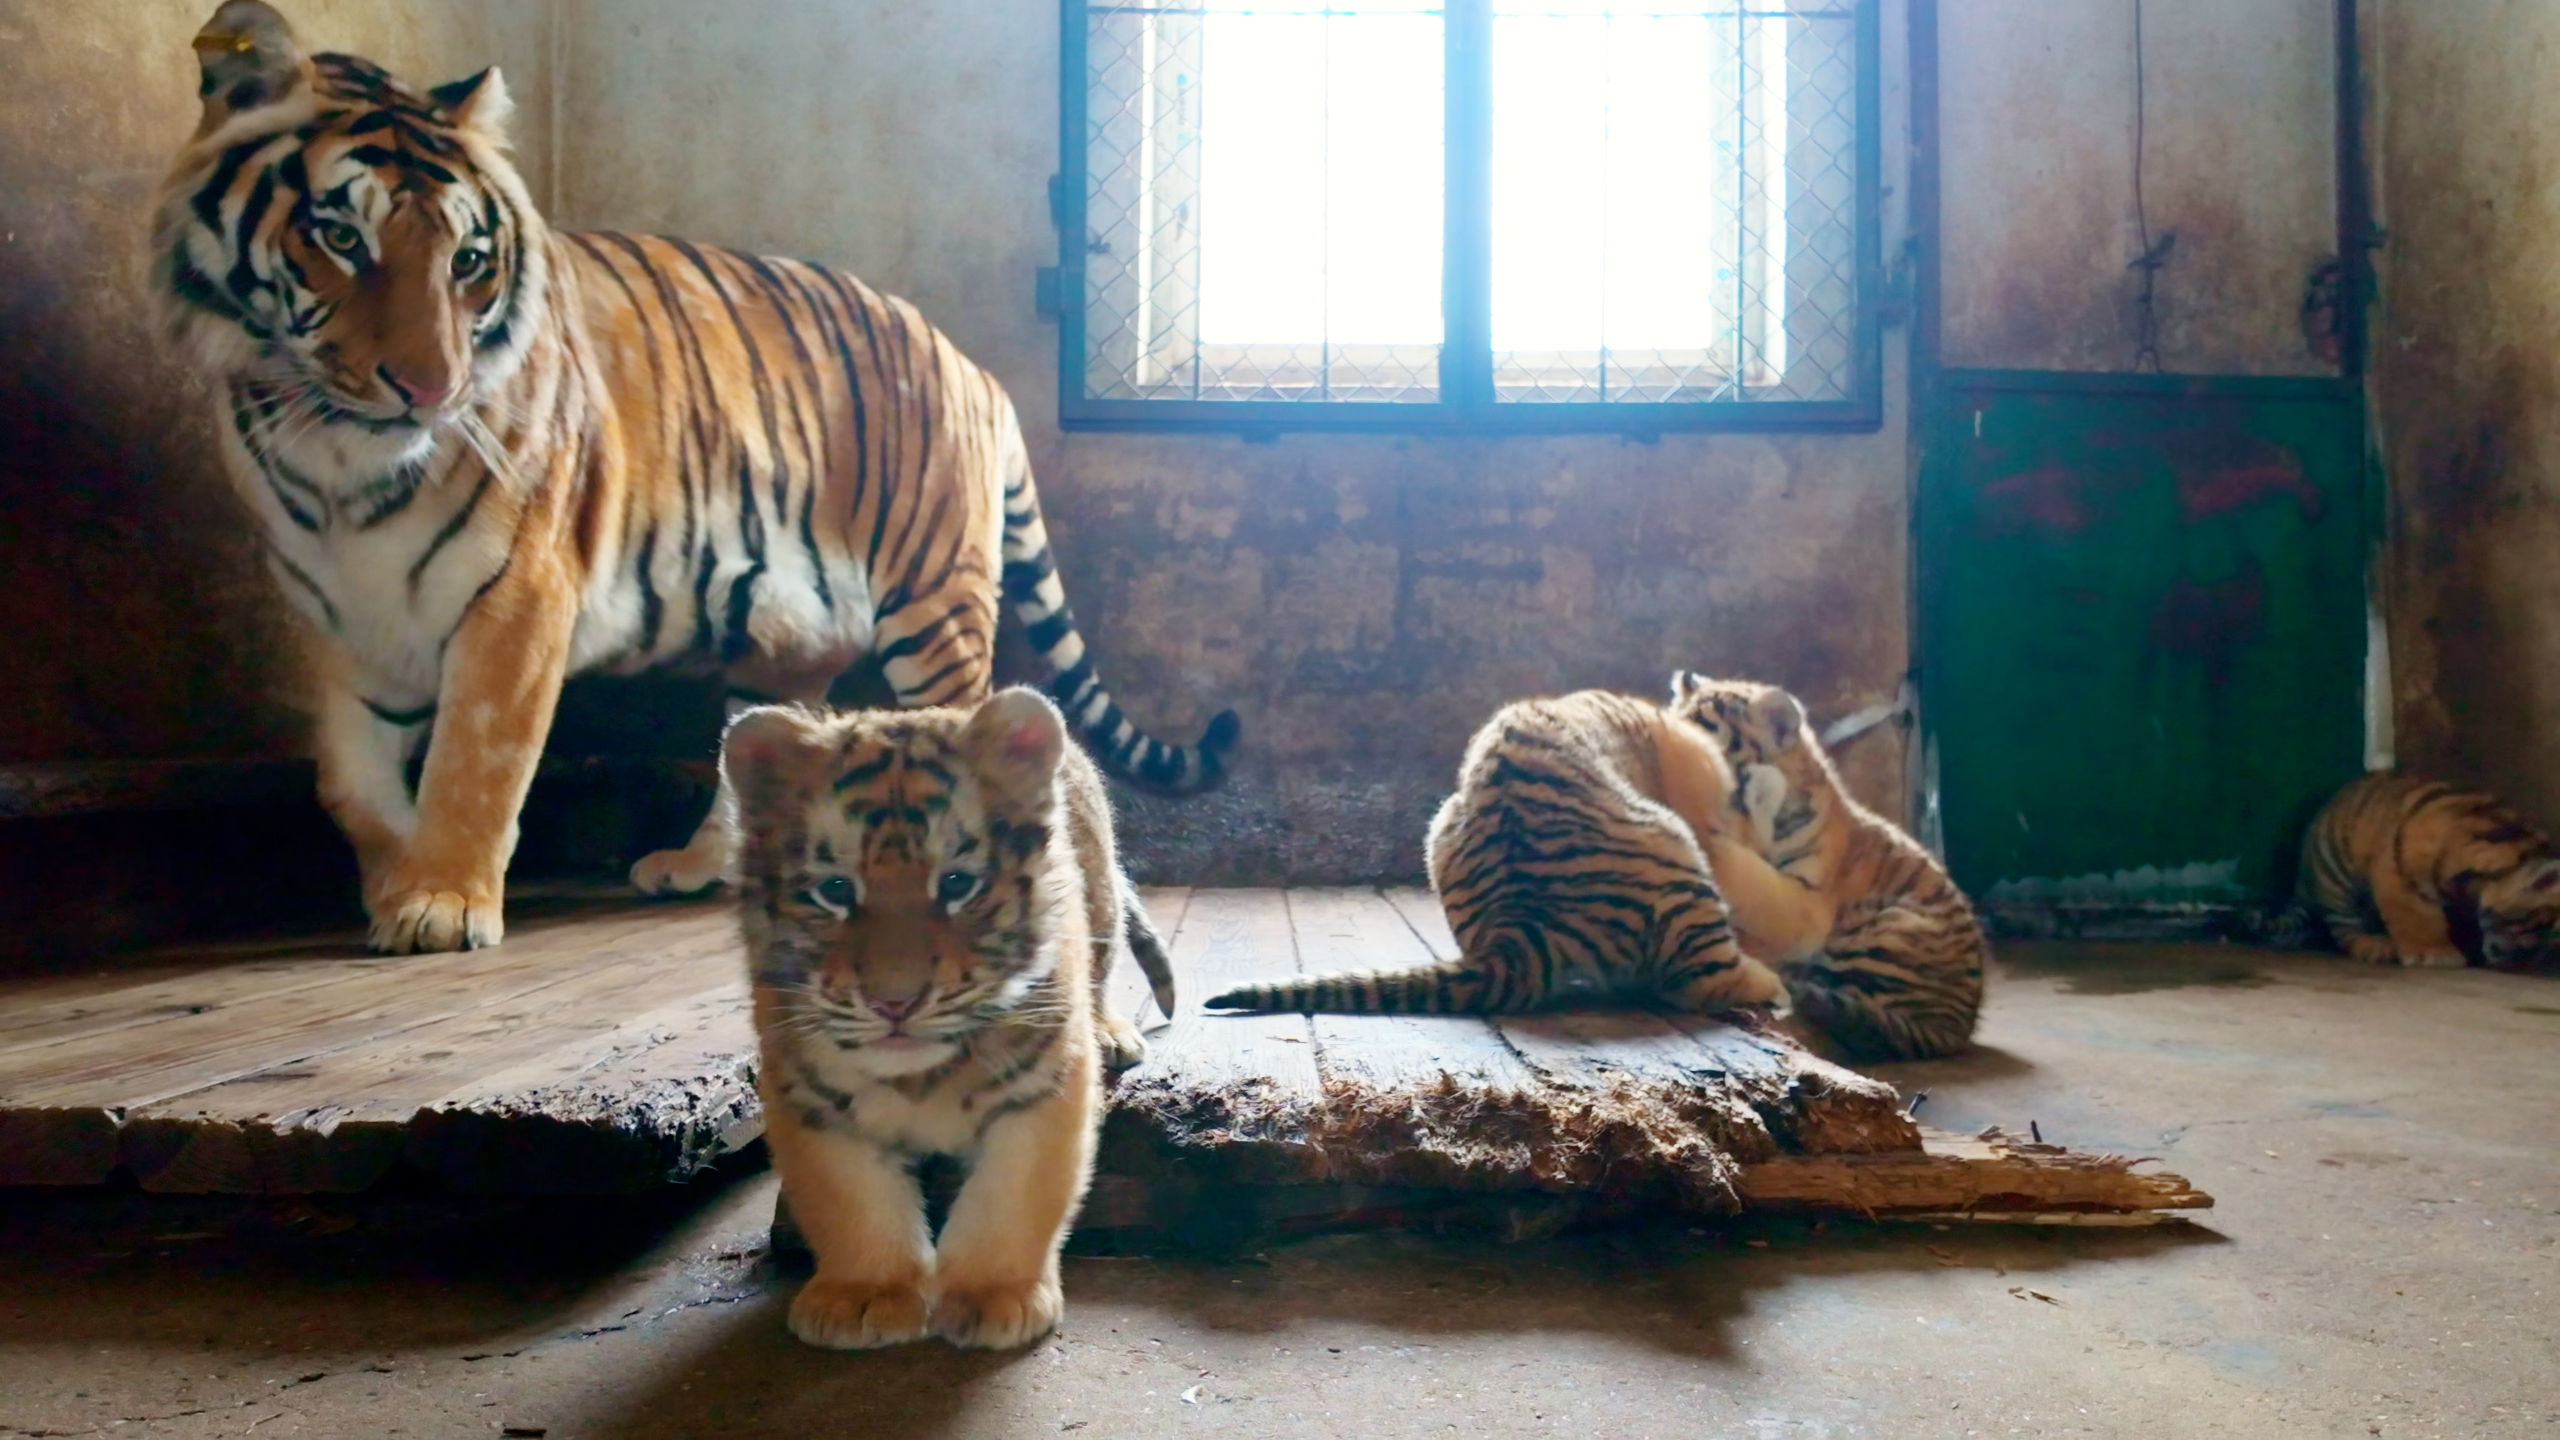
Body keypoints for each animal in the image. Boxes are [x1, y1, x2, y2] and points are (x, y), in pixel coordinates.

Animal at [152, 11, 1239, 958]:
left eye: (467, 260)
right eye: (340, 238)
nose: (431, 387)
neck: (338, 458)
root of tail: (974, 366)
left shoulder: (519, 594)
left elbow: (475, 758)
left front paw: (442, 904)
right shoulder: (336, 612)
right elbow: (348, 781)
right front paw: (393, 888)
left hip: (936, 603)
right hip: (784, 625)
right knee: (773, 741)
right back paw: (712, 863)